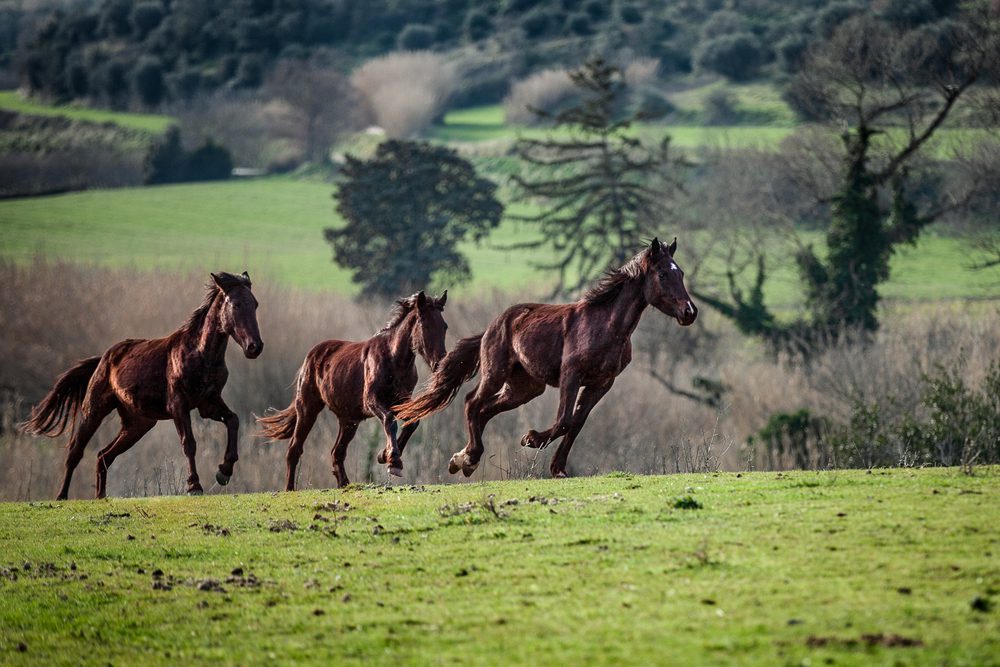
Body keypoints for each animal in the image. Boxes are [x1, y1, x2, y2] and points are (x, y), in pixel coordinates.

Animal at [21, 272, 263, 500]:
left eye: (255, 304)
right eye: (236, 304)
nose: (255, 347)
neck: (201, 354)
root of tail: (103, 358)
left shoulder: (208, 404)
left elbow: (233, 420)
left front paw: (224, 471)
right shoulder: (179, 406)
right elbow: (189, 443)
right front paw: (194, 486)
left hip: (138, 423)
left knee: (103, 456)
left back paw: (101, 496)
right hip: (94, 410)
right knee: (75, 451)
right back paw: (62, 496)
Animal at [257, 291, 448, 490]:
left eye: (444, 326)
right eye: (424, 324)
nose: (439, 363)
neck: (394, 359)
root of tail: (310, 356)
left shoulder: (400, 401)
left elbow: (412, 423)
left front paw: (384, 455)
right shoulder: (372, 401)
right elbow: (389, 420)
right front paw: (393, 460)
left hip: (348, 421)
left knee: (337, 452)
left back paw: (345, 484)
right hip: (308, 410)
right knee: (294, 449)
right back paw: (289, 489)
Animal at [393, 238, 697, 479]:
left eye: (680, 272)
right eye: (662, 274)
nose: (689, 312)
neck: (605, 325)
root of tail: (492, 326)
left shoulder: (600, 383)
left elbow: (576, 423)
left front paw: (558, 469)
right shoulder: (571, 376)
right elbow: (564, 420)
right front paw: (531, 439)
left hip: (525, 388)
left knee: (486, 409)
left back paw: (465, 457)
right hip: (496, 374)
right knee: (472, 402)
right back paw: (467, 459)